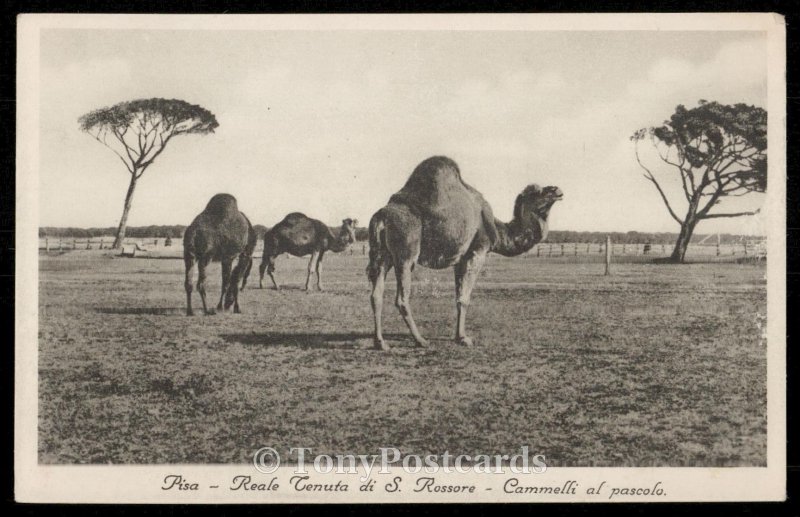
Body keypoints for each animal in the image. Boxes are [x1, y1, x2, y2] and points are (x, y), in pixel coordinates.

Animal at [368, 156, 564, 350]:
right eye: (536, 192)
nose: (556, 190)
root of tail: (381, 216)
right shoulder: (477, 252)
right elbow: (465, 298)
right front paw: (464, 338)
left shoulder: (459, 259)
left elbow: (458, 296)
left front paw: (458, 336)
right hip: (406, 253)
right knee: (401, 298)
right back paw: (420, 340)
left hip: (382, 255)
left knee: (376, 295)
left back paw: (381, 342)